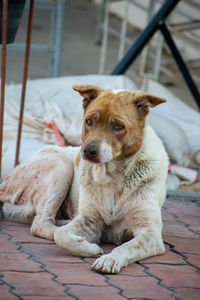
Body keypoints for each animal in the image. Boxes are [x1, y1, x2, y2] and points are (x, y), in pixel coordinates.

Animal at [0, 85, 169, 274]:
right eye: (89, 121)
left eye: (118, 126)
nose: (88, 151)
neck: (112, 176)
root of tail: (5, 183)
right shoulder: (90, 221)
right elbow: (61, 235)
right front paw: (89, 247)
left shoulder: (150, 233)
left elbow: (126, 247)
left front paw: (110, 259)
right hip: (62, 165)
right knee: (41, 224)